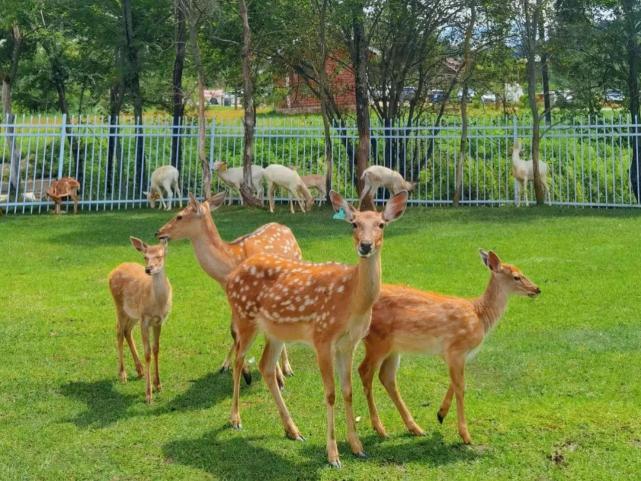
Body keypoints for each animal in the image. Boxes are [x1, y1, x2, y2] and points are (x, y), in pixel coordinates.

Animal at [108, 236, 172, 402]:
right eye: (145, 257)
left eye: (160, 256)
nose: (148, 269)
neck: (157, 303)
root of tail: (113, 271)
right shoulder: (145, 320)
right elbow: (147, 353)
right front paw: (149, 395)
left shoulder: (158, 321)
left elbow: (156, 349)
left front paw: (158, 385)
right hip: (119, 306)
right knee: (119, 332)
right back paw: (122, 374)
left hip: (132, 314)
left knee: (127, 331)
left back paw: (140, 370)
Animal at [156, 191, 302, 382]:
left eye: (179, 215)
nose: (159, 232)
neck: (230, 265)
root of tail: (287, 228)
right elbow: (234, 331)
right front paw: (245, 373)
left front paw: (277, 376)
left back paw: (287, 368)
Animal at [224, 190, 404, 464]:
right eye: (354, 224)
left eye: (381, 224)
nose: (365, 245)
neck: (352, 301)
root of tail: (230, 276)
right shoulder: (322, 337)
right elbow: (330, 393)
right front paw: (333, 455)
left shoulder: (349, 343)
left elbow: (347, 390)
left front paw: (357, 446)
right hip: (245, 317)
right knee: (238, 360)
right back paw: (235, 419)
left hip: (275, 332)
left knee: (266, 366)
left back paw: (292, 430)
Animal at [358, 249, 536, 444]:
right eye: (516, 276)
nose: (537, 289)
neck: (479, 316)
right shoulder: (457, 349)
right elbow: (461, 387)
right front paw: (465, 435)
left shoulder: (455, 354)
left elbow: (455, 383)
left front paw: (440, 414)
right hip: (376, 340)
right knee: (364, 371)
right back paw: (380, 429)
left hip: (394, 348)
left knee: (386, 377)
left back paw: (415, 428)